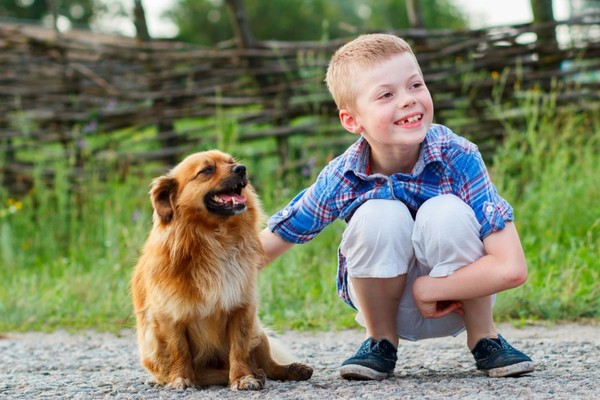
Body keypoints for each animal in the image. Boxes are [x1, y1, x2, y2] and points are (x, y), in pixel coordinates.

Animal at [129, 151, 312, 390]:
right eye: (207, 170)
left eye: (232, 162)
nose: (242, 169)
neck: (215, 239)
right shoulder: (170, 316)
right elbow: (180, 351)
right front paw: (180, 378)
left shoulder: (242, 308)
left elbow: (239, 349)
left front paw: (243, 378)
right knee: (210, 374)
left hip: (259, 333)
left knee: (270, 365)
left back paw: (287, 370)